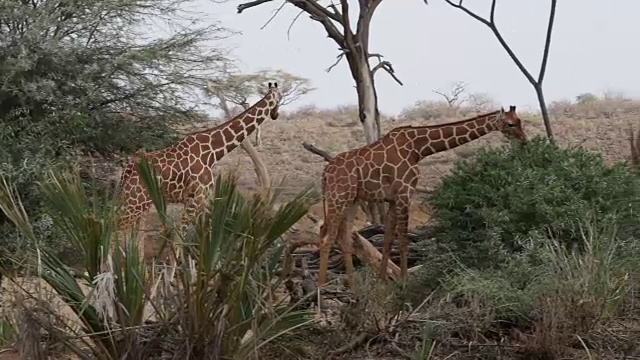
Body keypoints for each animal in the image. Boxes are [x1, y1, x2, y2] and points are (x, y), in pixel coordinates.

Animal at [118, 82, 282, 258]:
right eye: (280, 97)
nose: (276, 114)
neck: (213, 152)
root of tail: (128, 169)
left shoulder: (203, 200)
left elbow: (204, 236)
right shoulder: (195, 199)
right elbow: (179, 242)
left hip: (141, 203)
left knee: (135, 238)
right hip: (134, 202)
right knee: (114, 230)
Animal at [314, 105, 524, 286]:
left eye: (519, 121)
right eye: (510, 124)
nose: (524, 140)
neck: (418, 148)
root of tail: (325, 174)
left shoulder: (393, 198)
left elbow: (388, 239)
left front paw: (383, 281)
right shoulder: (405, 192)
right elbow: (403, 239)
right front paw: (405, 281)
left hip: (352, 200)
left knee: (344, 238)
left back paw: (353, 286)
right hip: (338, 196)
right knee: (326, 236)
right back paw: (321, 287)